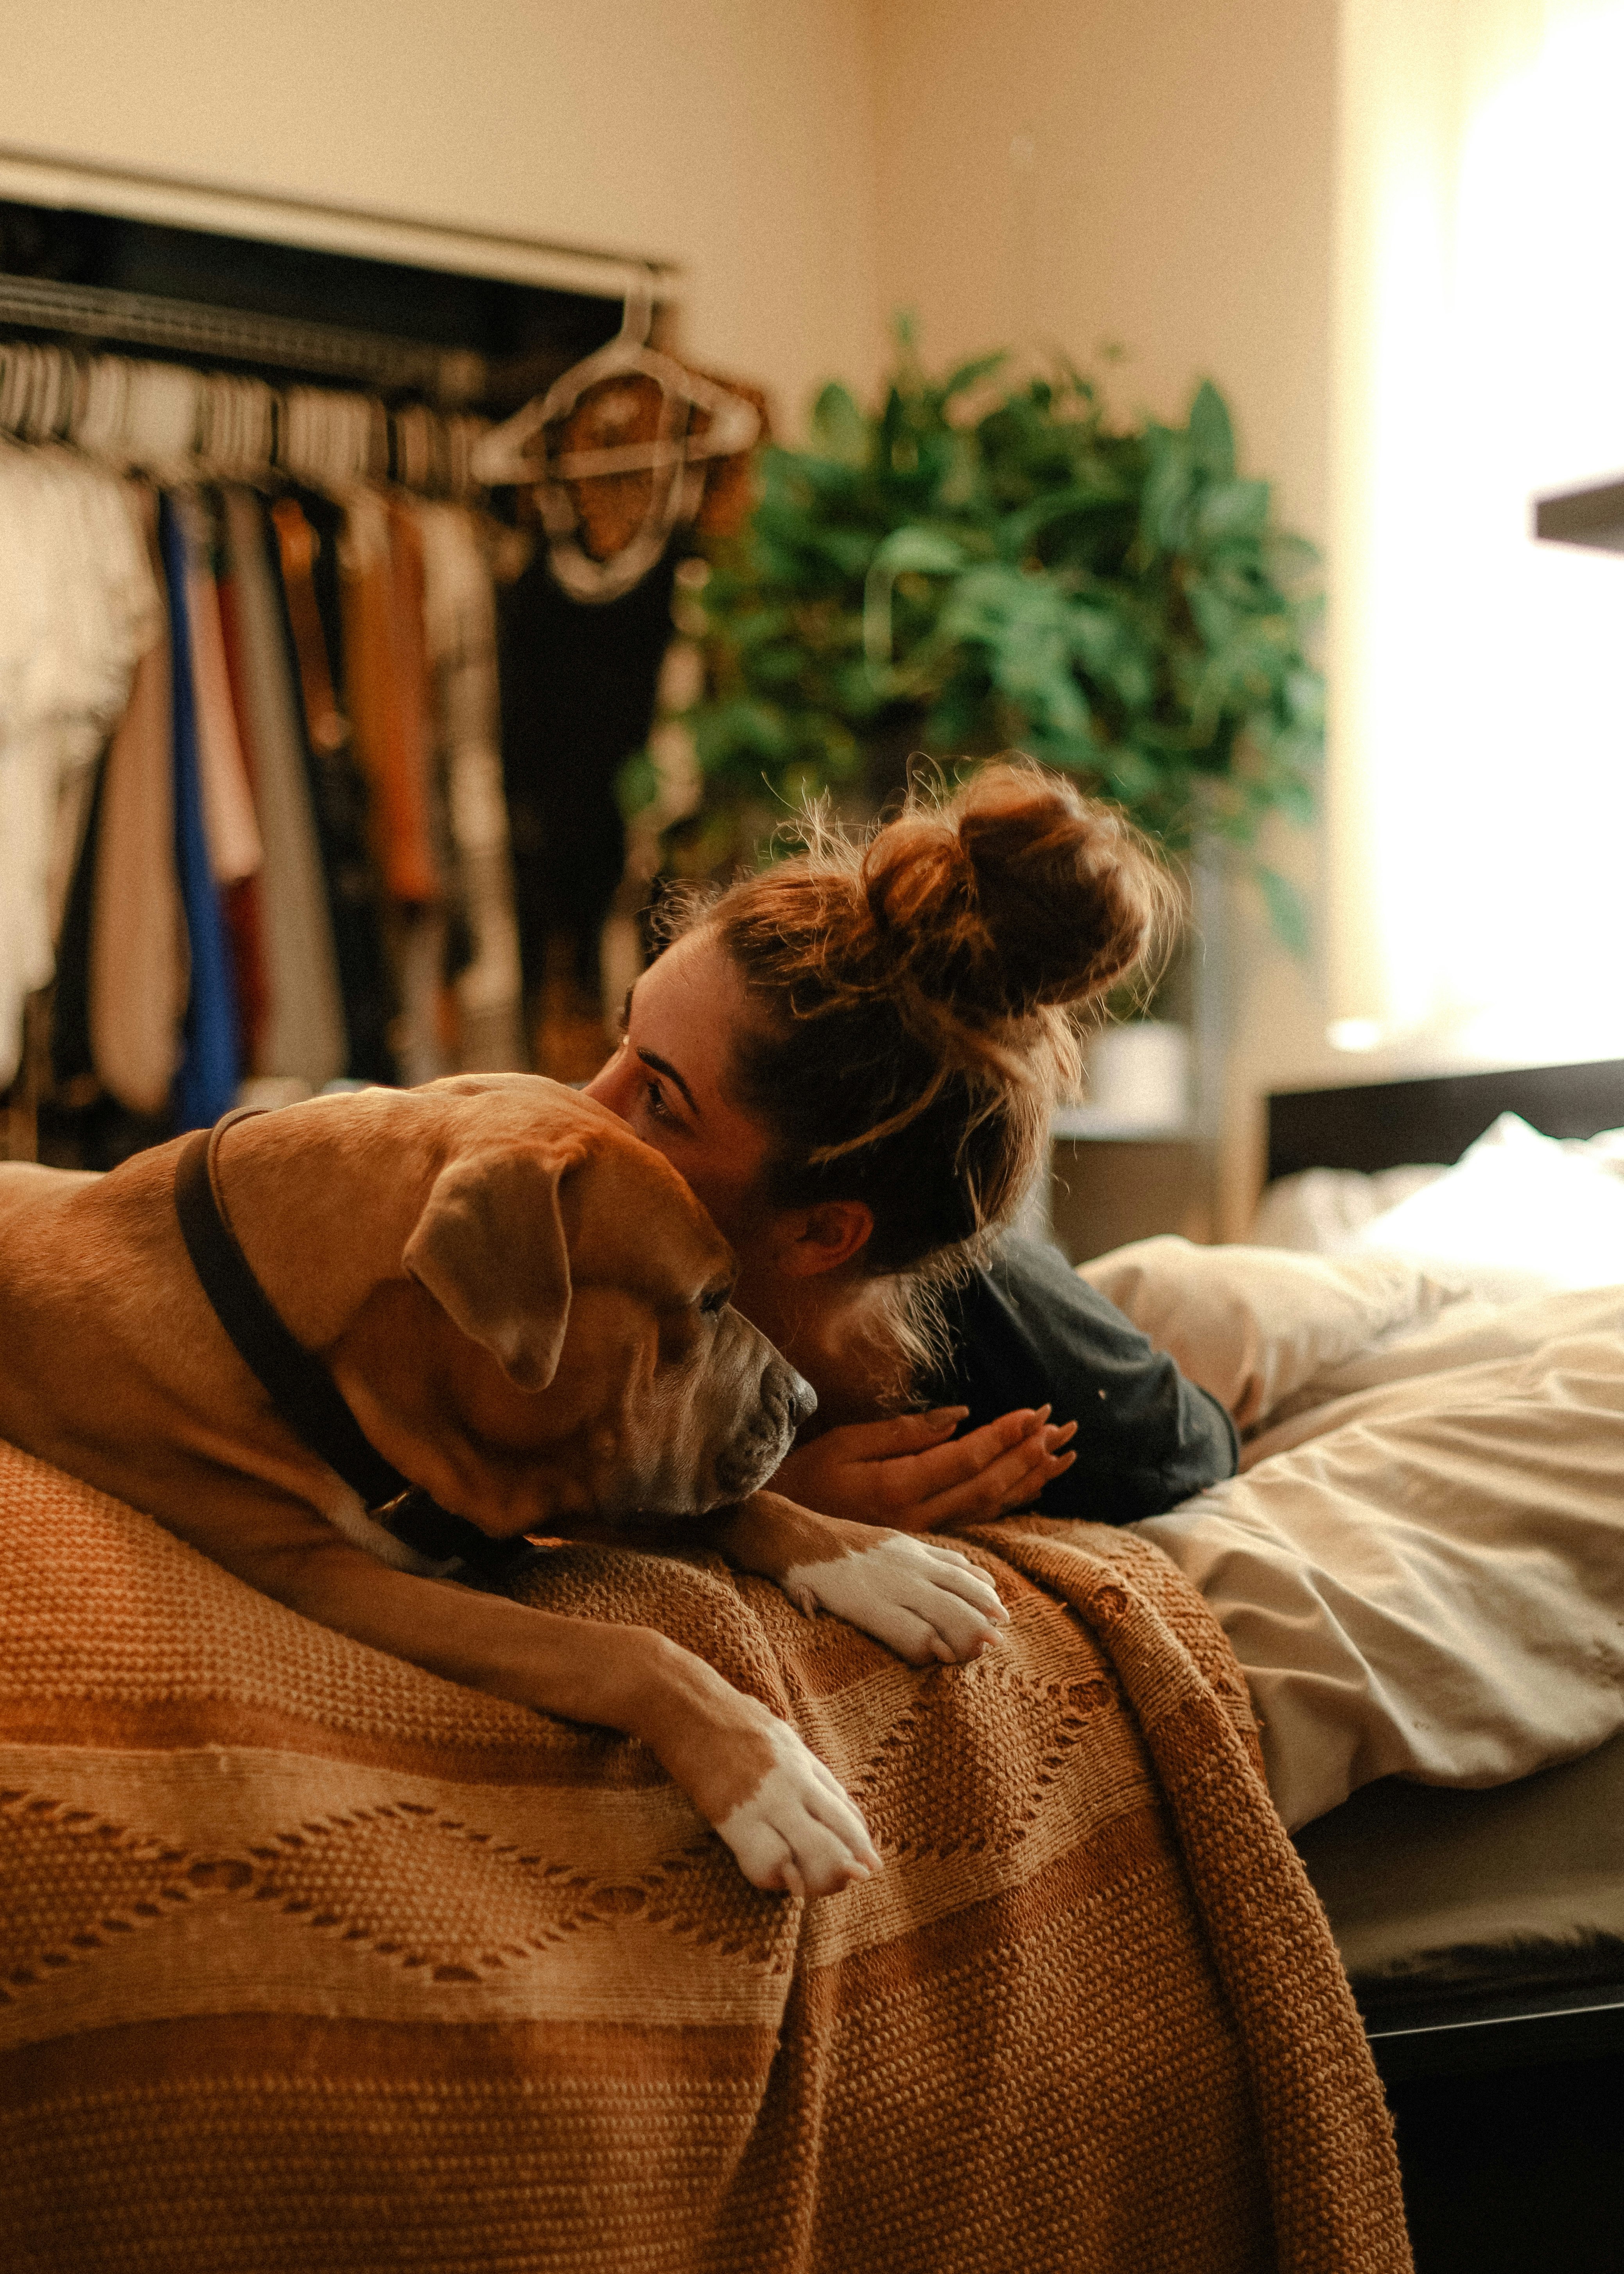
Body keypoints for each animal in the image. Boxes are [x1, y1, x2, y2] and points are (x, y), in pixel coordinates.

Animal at [0, 1082, 1001, 1901]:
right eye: (708, 1299)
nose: (802, 1401)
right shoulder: (342, 1579)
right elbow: (626, 1648)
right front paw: (769, 1776)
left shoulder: (550, 1465)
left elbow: (746, 1505)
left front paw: (883, 1566)